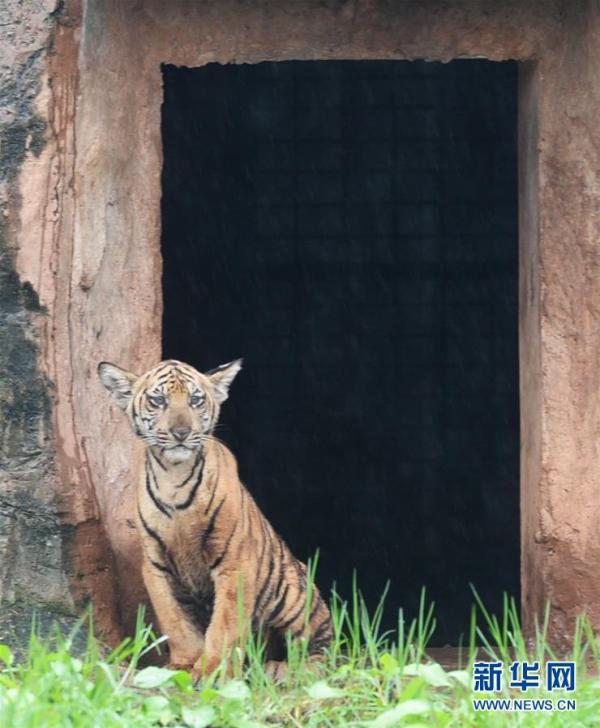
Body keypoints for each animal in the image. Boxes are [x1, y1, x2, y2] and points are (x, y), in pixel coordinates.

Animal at [98, 358, 332, 684]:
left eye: (195, 400)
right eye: (159, 401)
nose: (181, 432)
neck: (173, 476)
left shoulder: (234, 561)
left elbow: (224, 623)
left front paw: (212, 671)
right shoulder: (156, 566)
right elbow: (175, 622)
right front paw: (183, 665)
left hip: (294, 593)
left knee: (324, 649)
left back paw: (284, 668)